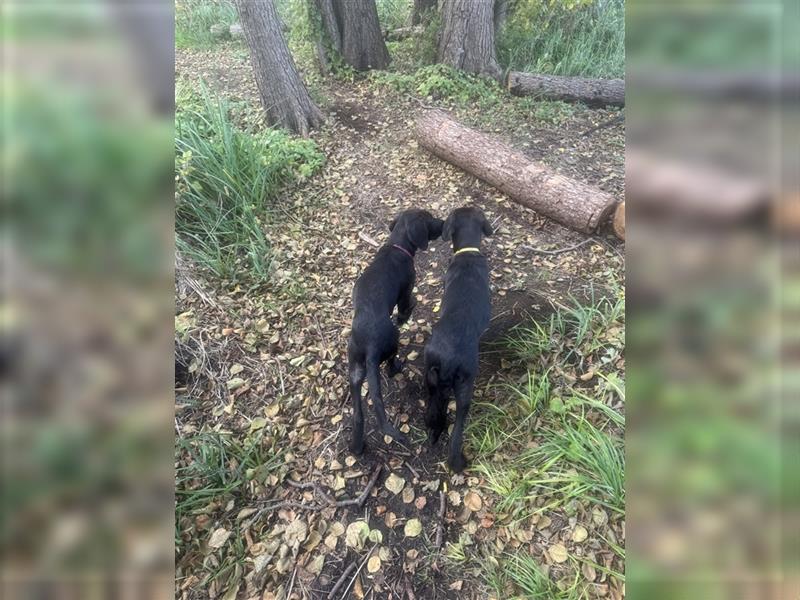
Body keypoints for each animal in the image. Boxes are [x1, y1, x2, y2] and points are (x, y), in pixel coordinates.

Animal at [346, 209, 444, 452]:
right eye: (430, 219)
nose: (444, 223)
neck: (397, 246)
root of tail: (369, 347)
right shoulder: (406, 292)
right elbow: (408, 306)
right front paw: (406, 315)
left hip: (355, 370)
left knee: (358, 416)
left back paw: (357, 447)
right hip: (392, 343)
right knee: (390, 364)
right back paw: (398, 366)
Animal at [422, 206, 490, 474]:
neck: (468, 252)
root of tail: (449, 359)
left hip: (430, 378)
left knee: (434, 411)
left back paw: (434, 433)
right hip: (465, 389)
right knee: (458, 428)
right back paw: (458, 461)